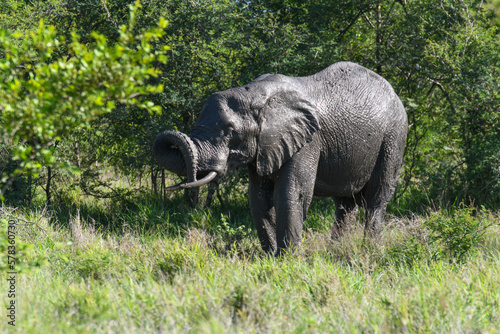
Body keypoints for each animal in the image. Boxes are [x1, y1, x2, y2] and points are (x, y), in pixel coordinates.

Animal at [154, 62, 408, 256]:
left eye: (230, 131)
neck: (255, 94)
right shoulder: (263, 148)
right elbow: (258, 199)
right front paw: (270, 257)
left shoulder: (308, 141)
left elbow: (291, 194)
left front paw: (288, 260)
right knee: (345, 204)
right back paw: (336, 250)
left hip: (393, 137)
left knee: (376, 198)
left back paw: (369, 249)